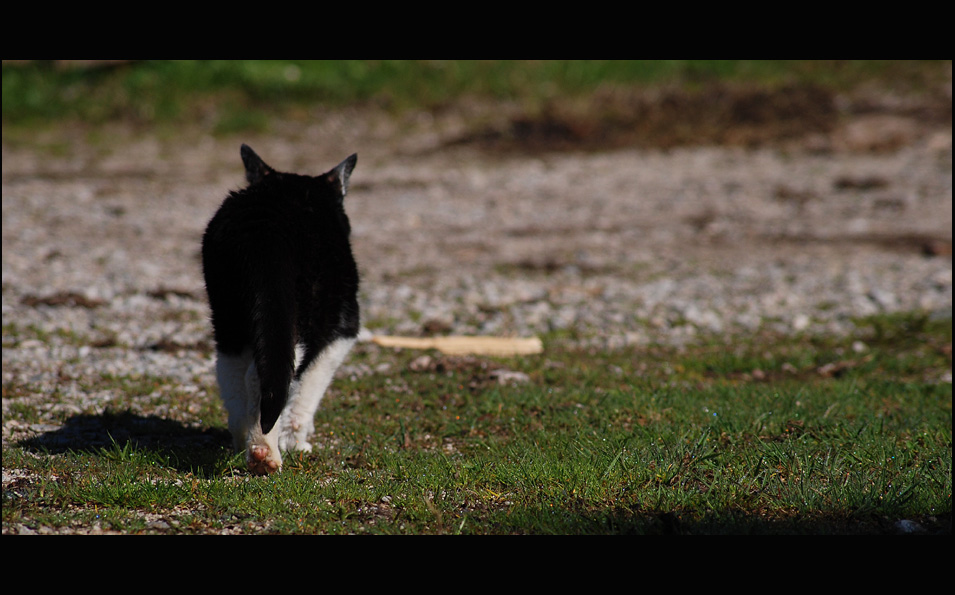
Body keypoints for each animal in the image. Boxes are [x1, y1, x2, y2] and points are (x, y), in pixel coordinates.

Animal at [202, 144, 362, 474]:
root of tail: (263, 226)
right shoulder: (343, 329)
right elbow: (309, 389)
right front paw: (297, 442)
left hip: (228, 315)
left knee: (231, 371)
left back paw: (244, 441)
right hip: (294, 318)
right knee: (266, 376)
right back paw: (264, 452)